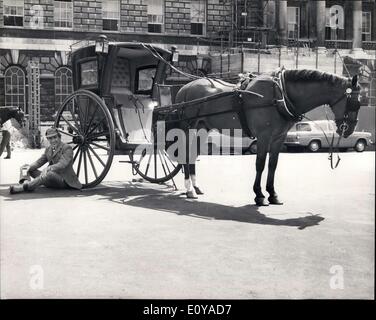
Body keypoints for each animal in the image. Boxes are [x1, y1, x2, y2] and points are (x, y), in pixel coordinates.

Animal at [173, 69, 362, 205]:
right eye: (354, 102)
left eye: (361, 102)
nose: (349, 130)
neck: (279, 95)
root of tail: (184, 88)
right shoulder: (263, 137)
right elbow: (260, 164)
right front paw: (259, 195)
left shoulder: (279, 137)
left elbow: (273, 165)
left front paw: (272, 194)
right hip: (188, 127)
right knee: (185, 153)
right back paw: (189, 189)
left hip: (202, 128)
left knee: (192, 154)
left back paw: (195, 186)